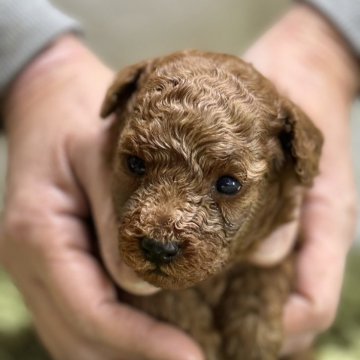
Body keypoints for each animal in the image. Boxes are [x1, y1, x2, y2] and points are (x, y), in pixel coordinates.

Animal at [100, 51, 322, 360]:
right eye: (135, 164)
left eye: (228, 184)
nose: (158, 248)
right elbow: (174, 303)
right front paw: (206, 343)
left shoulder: (275, 249)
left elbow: (262, 281)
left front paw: (252, 343)